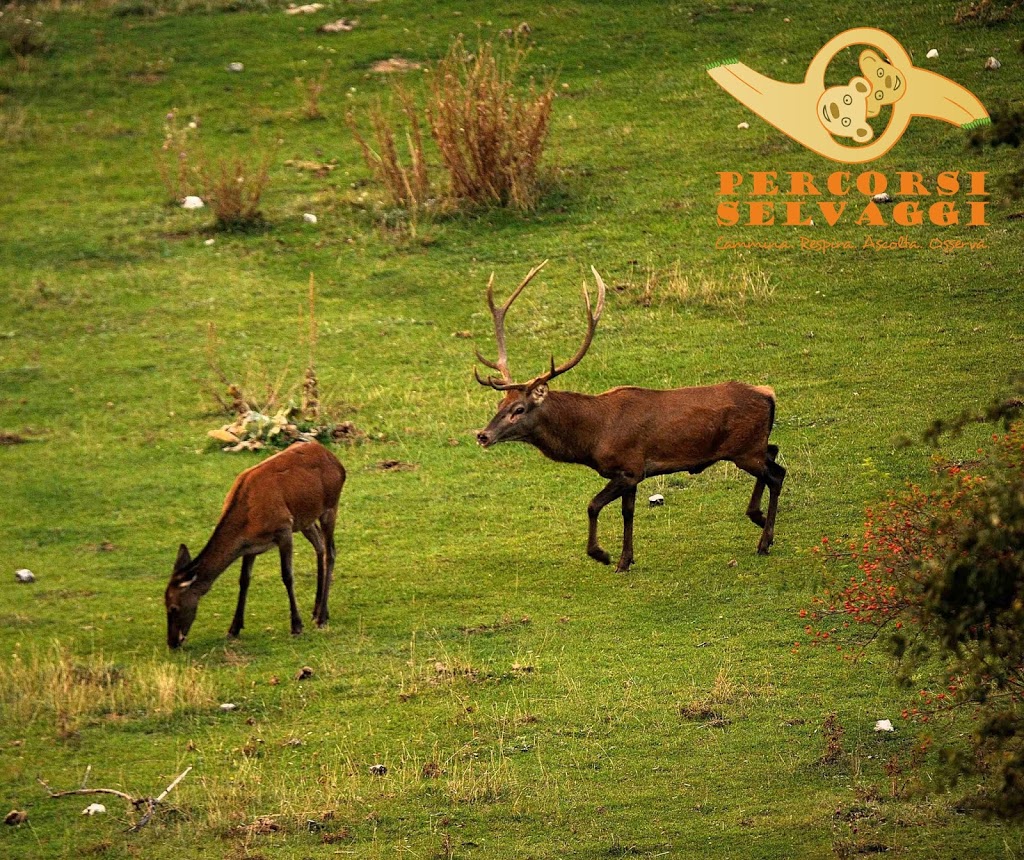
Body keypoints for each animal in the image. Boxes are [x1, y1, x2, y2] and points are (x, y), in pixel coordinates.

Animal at [164, 439, 345, 649]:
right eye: (164, 604)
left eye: (173, 607)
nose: (172, 642)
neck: (249, 517)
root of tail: (336, 460)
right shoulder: (249, 546)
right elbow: (244, 580)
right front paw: (234, 628)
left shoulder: (284, 528)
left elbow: (287, 576)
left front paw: (296, 626)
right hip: (304, 519)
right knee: (320, 546)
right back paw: (317, 610)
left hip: (330, 506)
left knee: (330, 552)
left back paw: (322, 616)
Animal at [473, 261, 785, 573]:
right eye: (500, 402)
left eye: (519, 409)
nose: (482, 435)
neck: (593, 438)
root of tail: (768, 393)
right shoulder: (631, 474)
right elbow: (628, 512)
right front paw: (626, 559)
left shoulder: (629, 467)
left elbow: (593, 505)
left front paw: (602, 554)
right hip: (753, 446)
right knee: (774, 452)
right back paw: (758, 520)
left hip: (745, 449)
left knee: (777, 474)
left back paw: (764, 540)